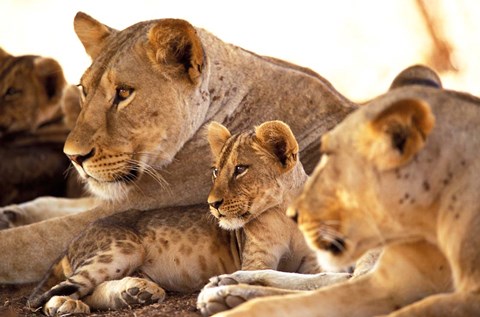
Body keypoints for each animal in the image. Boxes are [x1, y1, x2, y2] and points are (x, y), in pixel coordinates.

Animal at [0, 12, 356, 282]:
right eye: (83, 90)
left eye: (124, 93)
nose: (73, 156)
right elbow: (58, 204)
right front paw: (12, 213)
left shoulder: (136, 206)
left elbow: (25, 242)